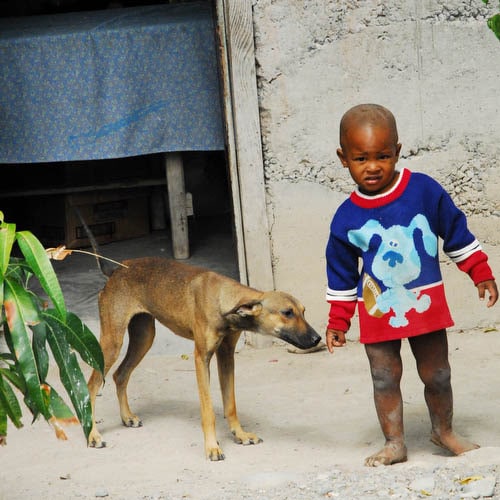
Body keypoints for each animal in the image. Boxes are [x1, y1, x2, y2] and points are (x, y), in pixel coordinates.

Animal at [86, 258, 322, 460]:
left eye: (303, 311)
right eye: (287, 312)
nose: (317, 338)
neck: (223, 299)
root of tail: (115, 269)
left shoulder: (226, 356)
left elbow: (230, 404)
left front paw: (240, 434)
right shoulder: (202, 358)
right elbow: (208, 412)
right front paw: (212, 447)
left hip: (144, 338)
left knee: (120, 374)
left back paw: (127, 417)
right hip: (111, 343)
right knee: (92, 384)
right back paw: (93, 435)